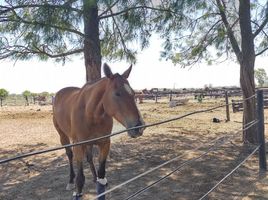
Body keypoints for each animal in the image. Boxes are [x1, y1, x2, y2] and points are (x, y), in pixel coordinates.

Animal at [52, 63, 144, 200]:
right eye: (117, 93)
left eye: (133, 93)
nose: (139, 127)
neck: (91, 113)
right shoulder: (78, 145)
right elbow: (80, 178)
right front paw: (78, 192)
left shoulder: (104, 143)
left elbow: (102, 173)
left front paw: (99, 182)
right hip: (63, 136)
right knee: (69, 155)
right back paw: (70, 181)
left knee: (89, 158)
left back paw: (94, 178)